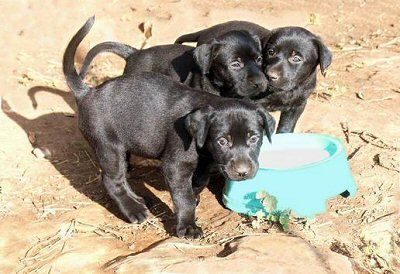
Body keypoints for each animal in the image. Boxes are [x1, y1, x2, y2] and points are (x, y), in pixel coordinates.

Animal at [177, 20, 332, 134]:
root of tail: (207, 30)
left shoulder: (298, 105)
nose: (269, 76)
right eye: (271, 52)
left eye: (296, 58)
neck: (284, 91)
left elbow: (286, 127)